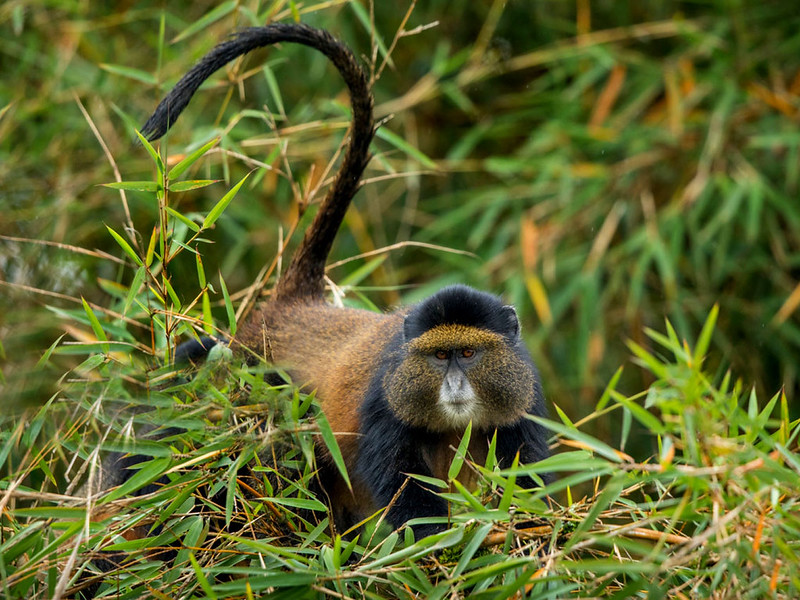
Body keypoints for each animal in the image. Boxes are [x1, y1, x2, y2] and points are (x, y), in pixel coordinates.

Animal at [136, 22, 550, 539]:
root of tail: (295, 305)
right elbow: (402, 483)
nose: (455, 384)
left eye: (469, 354)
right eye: (439, 356)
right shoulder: (383, 402)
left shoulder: (524, 395)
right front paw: (434, 543)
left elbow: (526, 472)